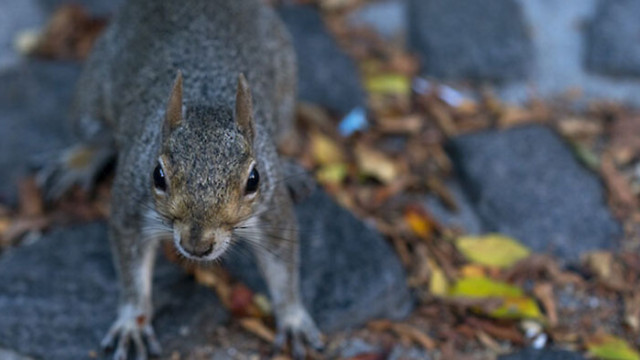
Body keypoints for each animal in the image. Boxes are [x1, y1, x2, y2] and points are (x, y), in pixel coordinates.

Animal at [37, 0, 322, 358]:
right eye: (157, 175)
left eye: (254, 180)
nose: (196, 246)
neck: (206, 100)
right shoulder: (131, 207)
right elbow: (131, 268)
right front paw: (133, 321)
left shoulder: (272, 212)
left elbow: (282, 267)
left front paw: (293, 318)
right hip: (91, 97)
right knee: (98, 135)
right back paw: (78, 161)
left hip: (284, 92)